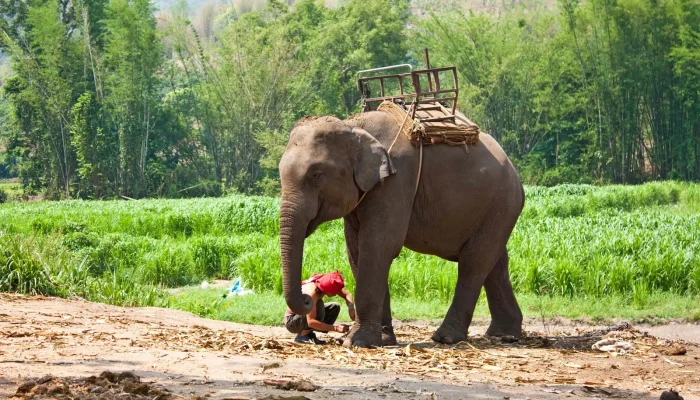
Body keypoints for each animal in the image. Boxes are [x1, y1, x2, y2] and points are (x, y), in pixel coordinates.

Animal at [278, 111, 524, 348]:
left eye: (316, 174)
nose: (307, 300)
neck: (353, 126)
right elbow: (356, 250)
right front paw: (383, 340)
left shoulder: (396, 182)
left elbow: (379, 246)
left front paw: (357, 342)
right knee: (495, 263)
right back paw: (504, 334)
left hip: (501, 204)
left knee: (474, 262)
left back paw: (445, 338)